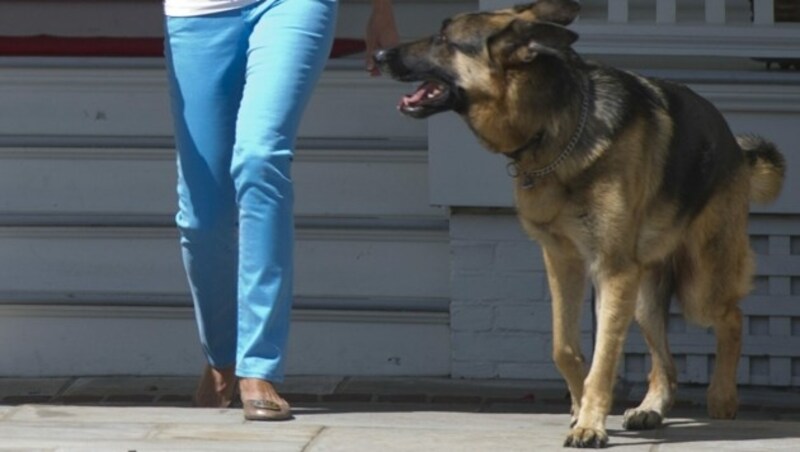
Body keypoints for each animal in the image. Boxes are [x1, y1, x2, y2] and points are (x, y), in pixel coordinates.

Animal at [376, 0, 788, 446]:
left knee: (731, 317)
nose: (378, 55)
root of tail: (735, 147)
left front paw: (591, 423)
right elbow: (564, 348)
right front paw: (579, 409)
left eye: (443, 39)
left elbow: (604, 359)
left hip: (699, 285)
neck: (557, 128)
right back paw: (651, 407)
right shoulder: (563, 261)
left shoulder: (612, 271)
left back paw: (723, 395)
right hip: (643, 296)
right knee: (666, 362)